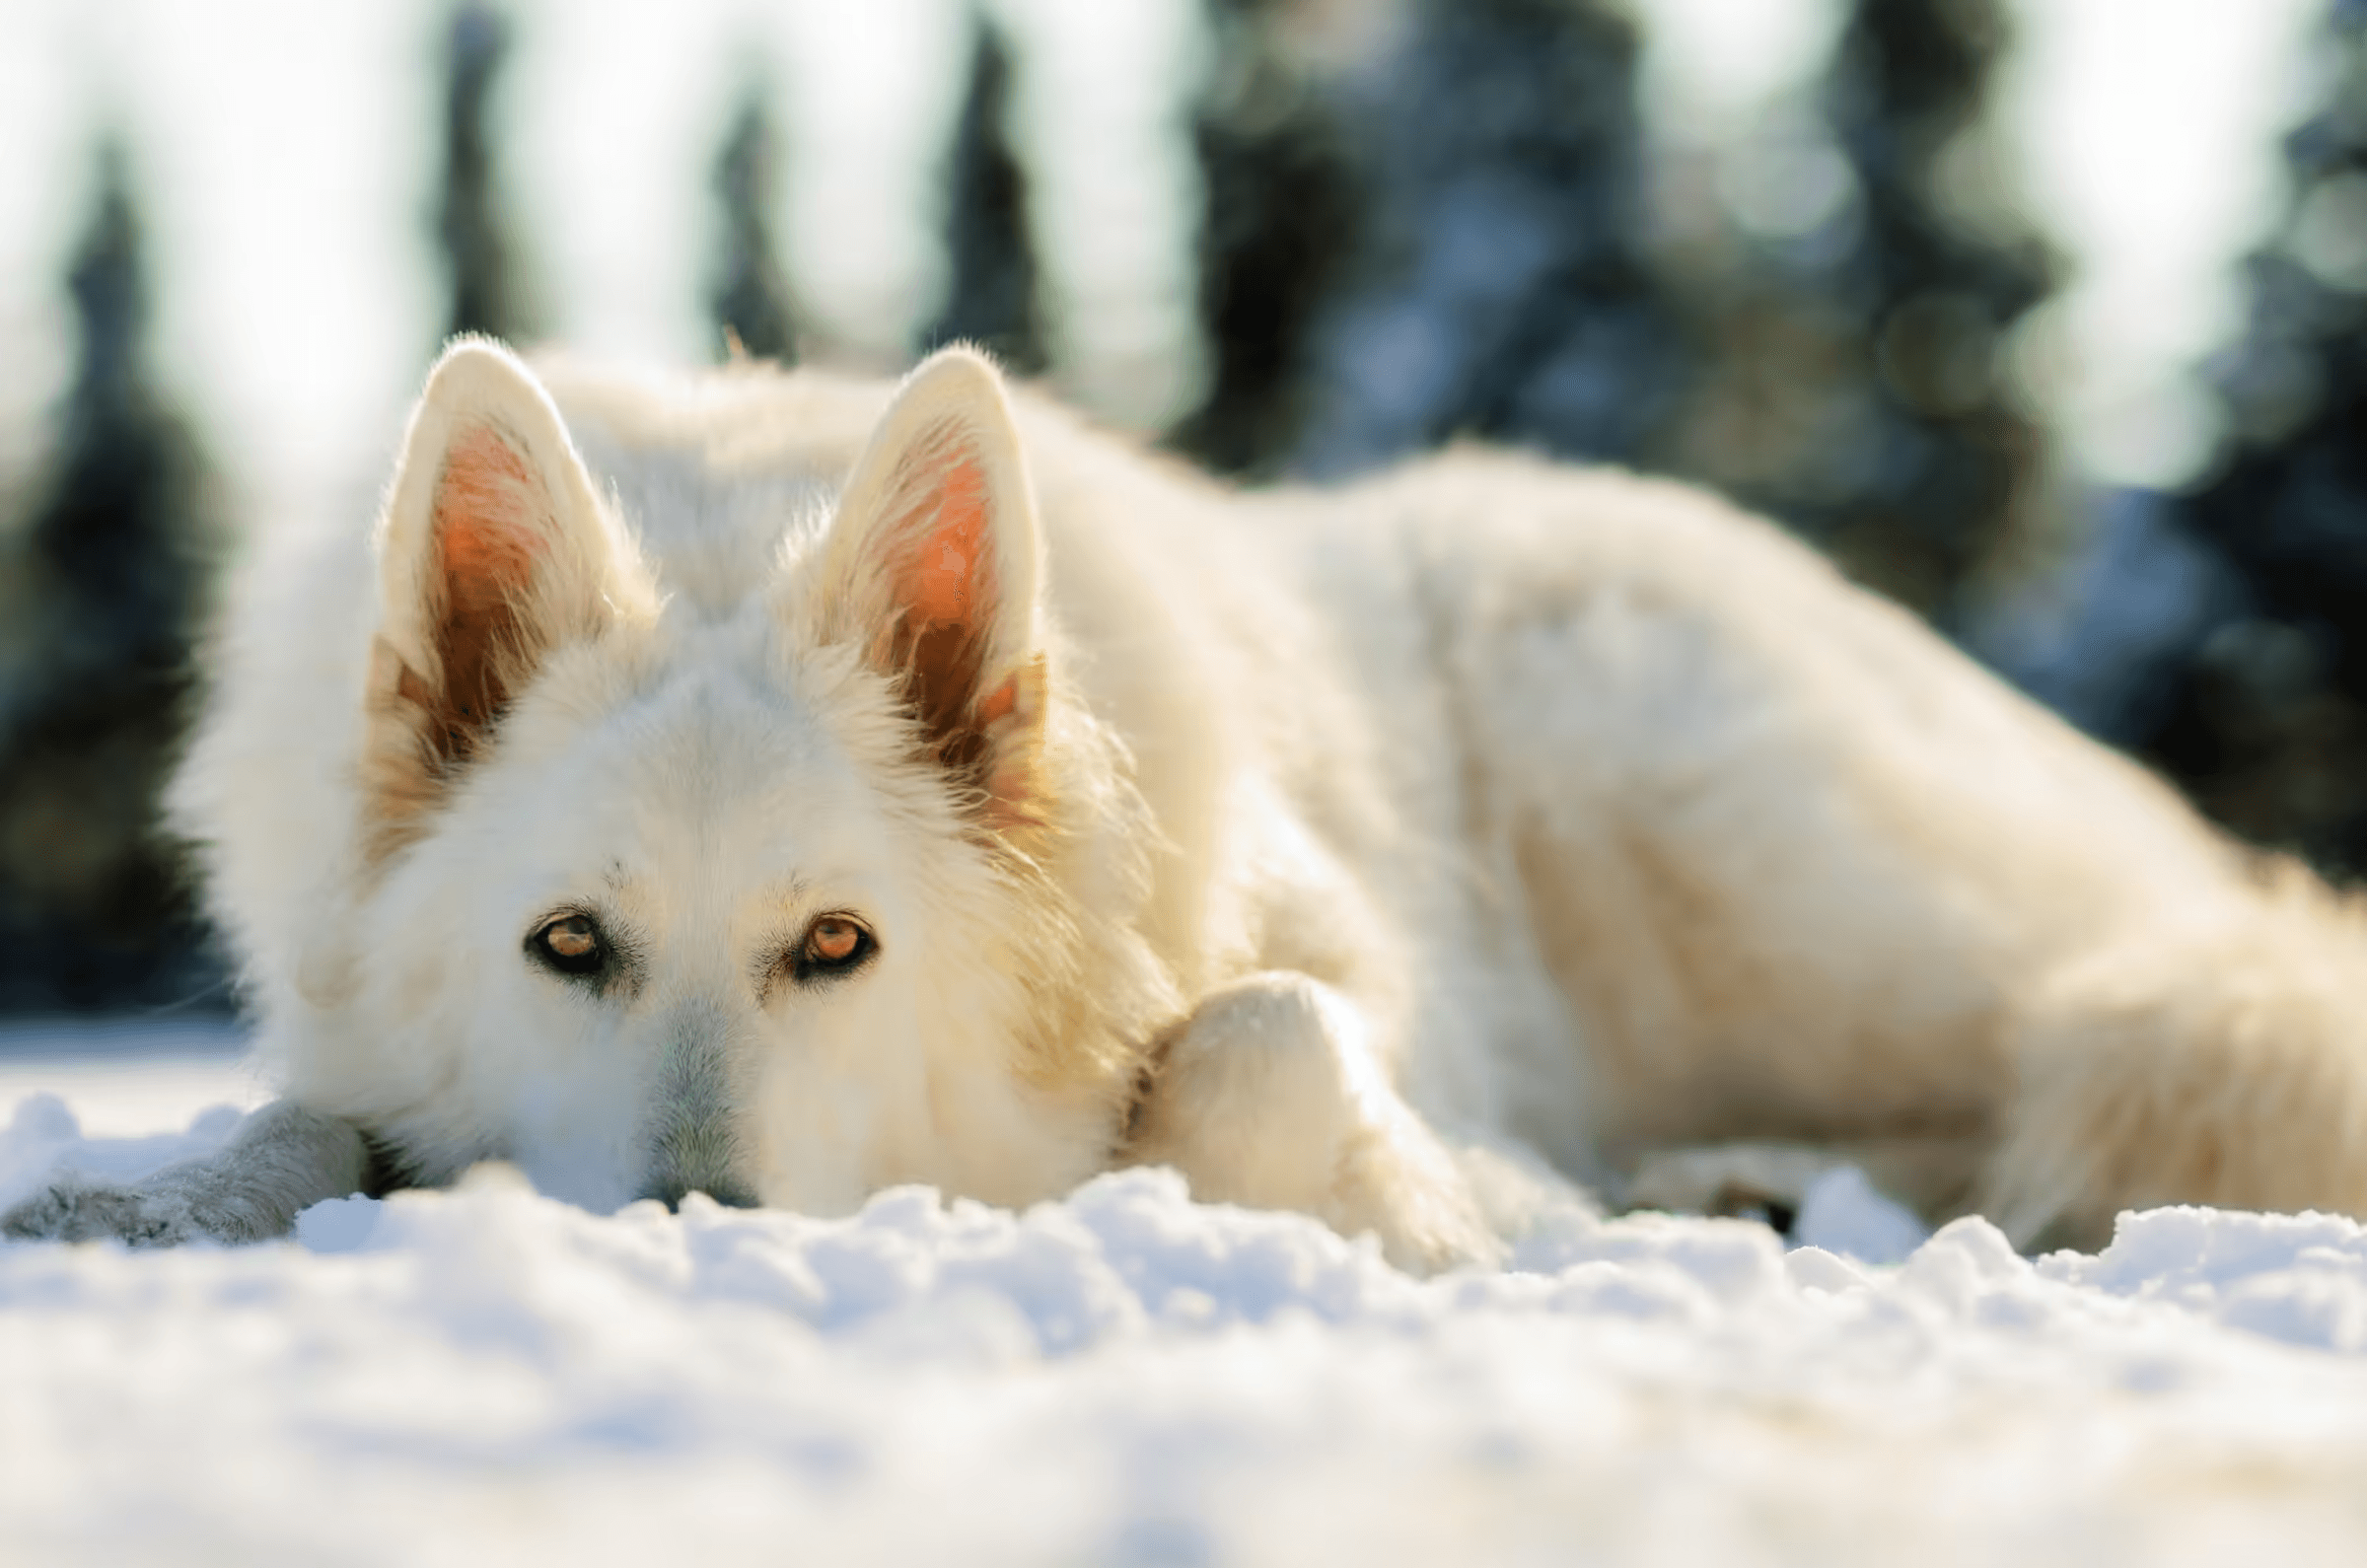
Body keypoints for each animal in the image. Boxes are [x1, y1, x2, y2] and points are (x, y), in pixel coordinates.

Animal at [4, 340, 2367, 1269]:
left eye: (837, 947)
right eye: (565, 947)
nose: (693, 1230)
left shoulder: (1338, 1015)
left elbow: (1263, 1046)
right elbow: (305, 1128)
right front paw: (137, 1206)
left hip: (1733, 828)